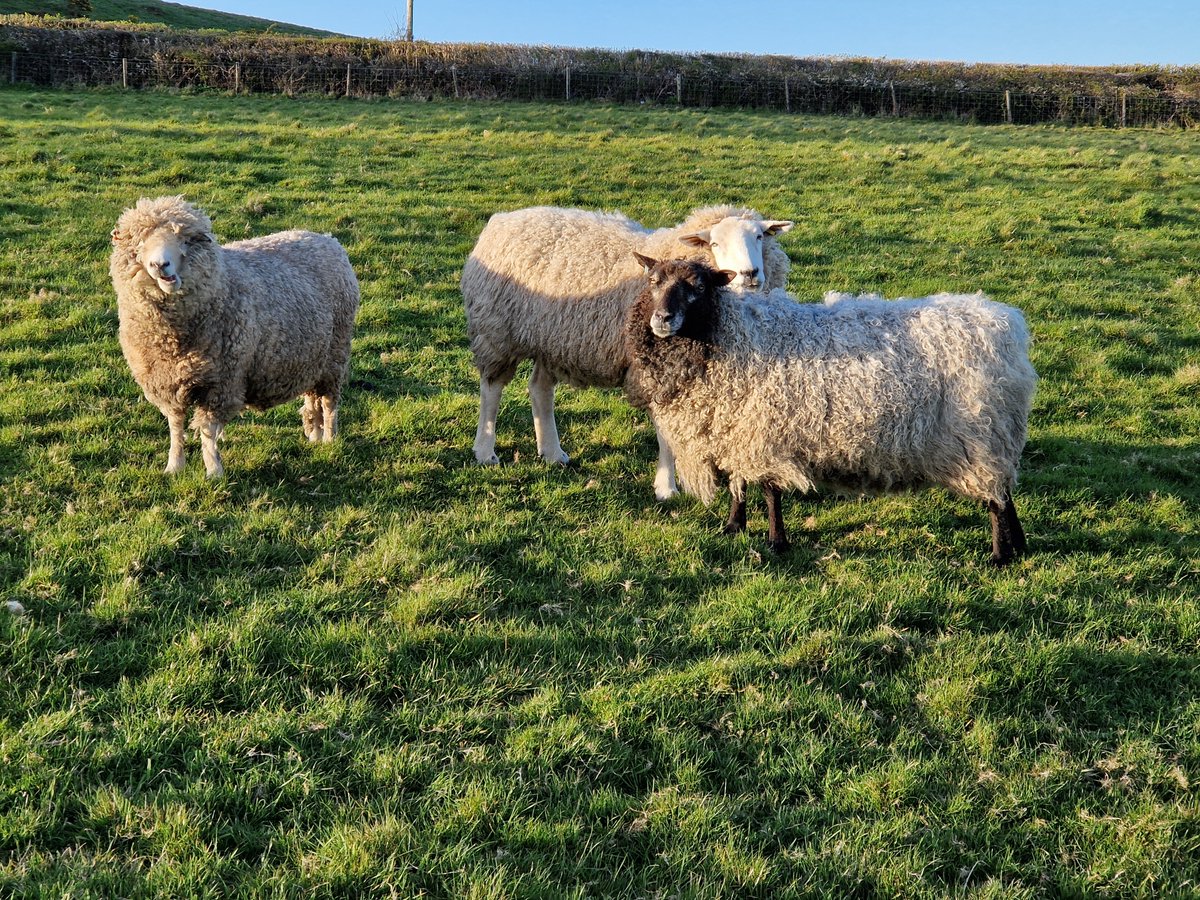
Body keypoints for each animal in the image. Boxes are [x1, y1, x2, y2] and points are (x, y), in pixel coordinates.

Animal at [110, 196, 357, 480]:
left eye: (185, 240)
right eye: (140, 243)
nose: (160, 265)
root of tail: (326, 239)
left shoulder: (221, 382)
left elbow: (208, 430)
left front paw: (214, 470)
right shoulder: (166, 382)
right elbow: (175, 425)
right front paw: (174, 465)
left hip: (335, 355)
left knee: (329, 402)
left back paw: (329, 439)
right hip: (311, 357)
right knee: (313, 397)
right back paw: (314, 434)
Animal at [456, 204, 787, 501]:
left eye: (759, 236)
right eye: (715, 242)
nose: (750, 273)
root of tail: (503, 218)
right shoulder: (653, 370)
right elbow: (666, 435)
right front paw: (666, 487)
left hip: (552, 340)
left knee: (540, 388)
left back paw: (552, 452)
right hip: (496, 331)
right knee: (492, 388)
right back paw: (485, 450)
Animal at [624, 254, 1036, 564]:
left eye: (698, 288)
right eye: (654, 281)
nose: (662, 319)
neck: (729, 333)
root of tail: (1006, 326)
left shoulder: (763, 429)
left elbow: (770, 492)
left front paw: (776, 542)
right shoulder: (735, 429)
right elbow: (738, 484)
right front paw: (733, 527)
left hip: (981, 434)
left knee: (996, 498)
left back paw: (999, 556)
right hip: (996, 435)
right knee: (1006, 492)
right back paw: (1019, 546)